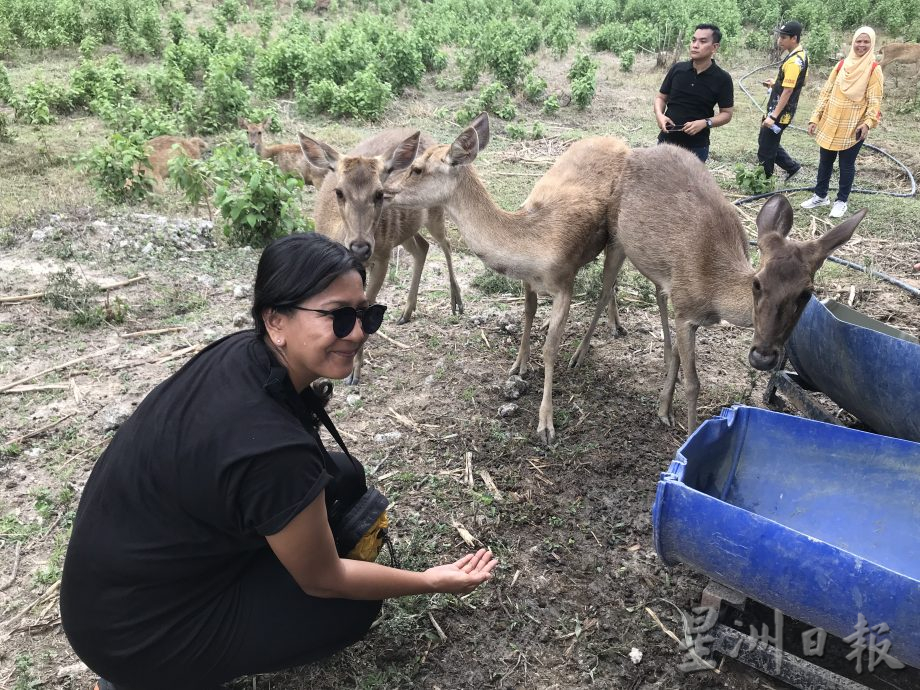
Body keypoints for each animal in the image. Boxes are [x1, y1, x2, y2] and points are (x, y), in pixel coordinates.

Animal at [298, 127, 464, 384]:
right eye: (339, 192)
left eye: (379, 193)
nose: (360, 247)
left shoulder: (383, 257)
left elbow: (365, 309)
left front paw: (354, 372)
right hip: (403, 231)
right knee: (422, 247)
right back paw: (406, 312)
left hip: (435, 211)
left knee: (445, 243)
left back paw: (456, 300)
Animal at [380, 109, 632, 438]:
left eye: (417, 168)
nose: (384, 191)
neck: (529, 245)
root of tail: (621, 141)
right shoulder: (529, 282)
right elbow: (527, 313)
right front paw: (518, 366)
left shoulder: (565, 281)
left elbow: (550, 349)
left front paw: (546, 423)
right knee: (611, 285)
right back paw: (613, 326)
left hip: (619, 235)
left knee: (605, 288)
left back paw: (581, 352)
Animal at [580, 144, 868, 430]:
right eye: (757, 283)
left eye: (808, 292)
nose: (763, 357)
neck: (714, 295)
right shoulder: (685, 309)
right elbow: (694, 384)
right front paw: (691, 432)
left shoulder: (683, 306)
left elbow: (678, 354)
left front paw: (664, 409)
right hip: (615, 234)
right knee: (605, 289)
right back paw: (580, 353)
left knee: (655, 293)